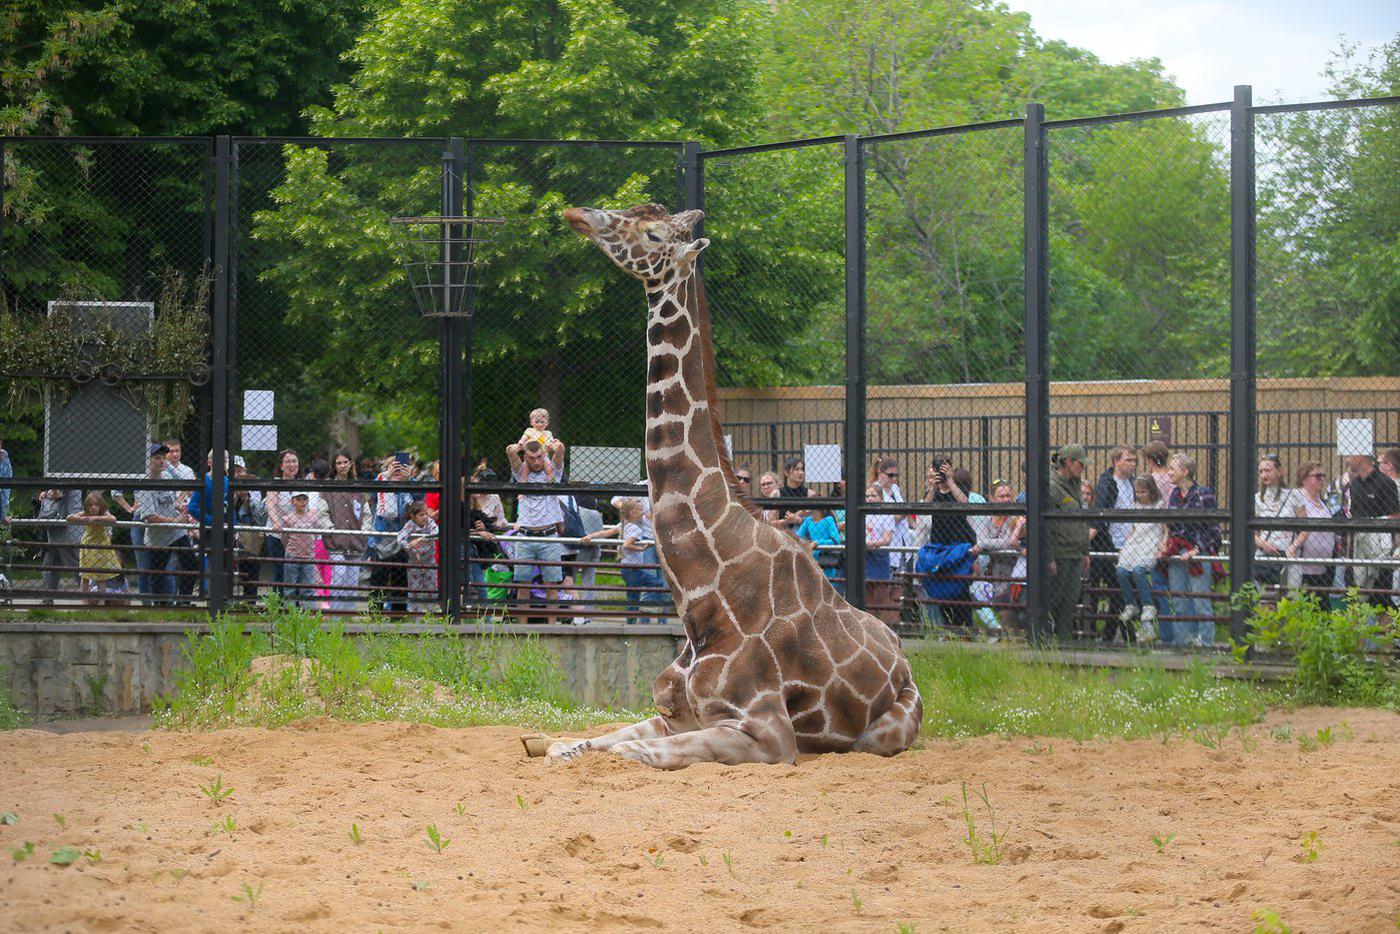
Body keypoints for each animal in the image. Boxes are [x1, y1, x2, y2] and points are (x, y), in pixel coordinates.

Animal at [551, 203, 924, 767]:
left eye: (653, 233)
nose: (578, 214)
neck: (699, 595)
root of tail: (904, 656)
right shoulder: (669, 714)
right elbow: (572, 745)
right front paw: (553, 744)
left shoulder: (768, 733)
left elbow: (629, 753)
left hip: (886, 730)